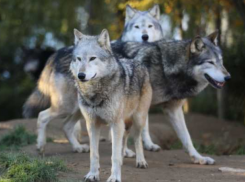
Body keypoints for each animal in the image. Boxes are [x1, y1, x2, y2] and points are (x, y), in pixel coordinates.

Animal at [70, 29, 152, 181]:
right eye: (78, 59)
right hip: (123, 123)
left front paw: (114, 177)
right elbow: (94, 154)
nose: (81, 75)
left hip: (138, 119)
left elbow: (114, 156)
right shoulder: (92, 124)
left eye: (92, 58)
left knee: (137, 139)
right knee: (124, 140)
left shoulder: (115, 123)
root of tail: (137, 62)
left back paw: (141, 161)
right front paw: (92, 174)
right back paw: (123, 159)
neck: (95, 94)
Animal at [112, 30, 231, 165]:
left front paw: (198, 158)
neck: (165, 67)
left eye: (221, 61)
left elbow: (187, 137)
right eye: (210, 62)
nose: (228, 77)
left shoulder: (174, 109)